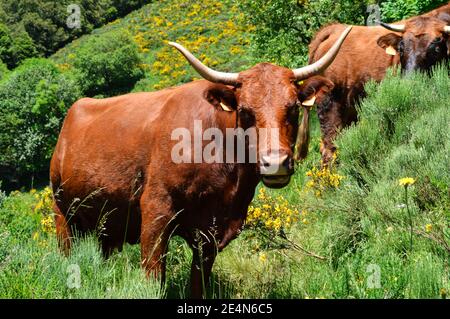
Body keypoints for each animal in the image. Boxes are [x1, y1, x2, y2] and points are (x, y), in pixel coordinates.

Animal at [49, 26, 352, 298]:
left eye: (293, 108)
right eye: (245, 112)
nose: (275, 162)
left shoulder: (212, 232)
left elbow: (199, 283)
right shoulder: (156, 211)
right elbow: (153, 277)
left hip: (105, 225)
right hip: (63, 214)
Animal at [300, 3, 450, 165]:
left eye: (436, 49)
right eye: (401, 48)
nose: (409, 82)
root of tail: (334, 29)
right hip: (329, 106)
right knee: (329, 147)